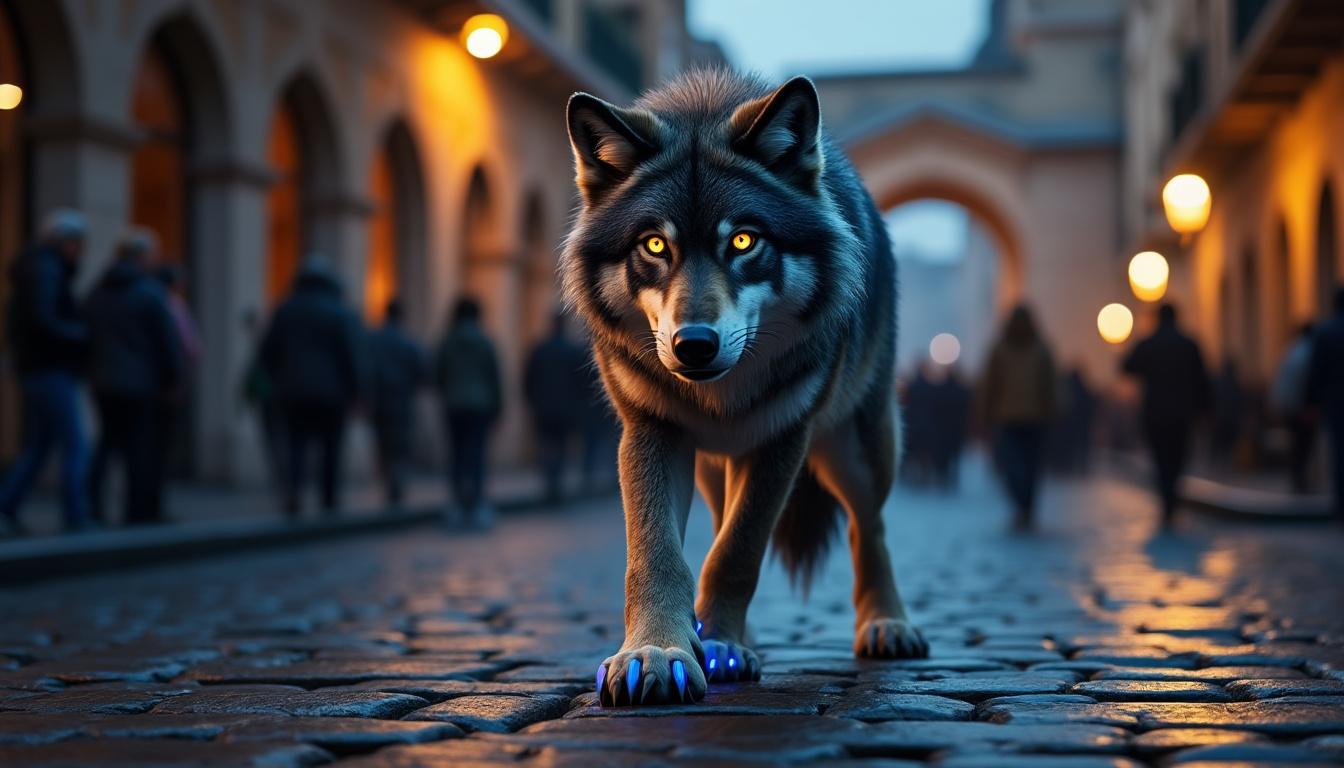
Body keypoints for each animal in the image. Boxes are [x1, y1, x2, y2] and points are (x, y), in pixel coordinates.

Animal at [562, 69, 928, 707]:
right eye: (654, 245)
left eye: (742, 242)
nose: (694, 345)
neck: (720, 396)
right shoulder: (651, 432)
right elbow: (658, 555)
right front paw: (658, 652)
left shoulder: (782, 441)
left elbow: (739, 551)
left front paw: (720, 647)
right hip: (715, 467)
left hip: (855, 449)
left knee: (870, 526)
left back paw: (886, 624)